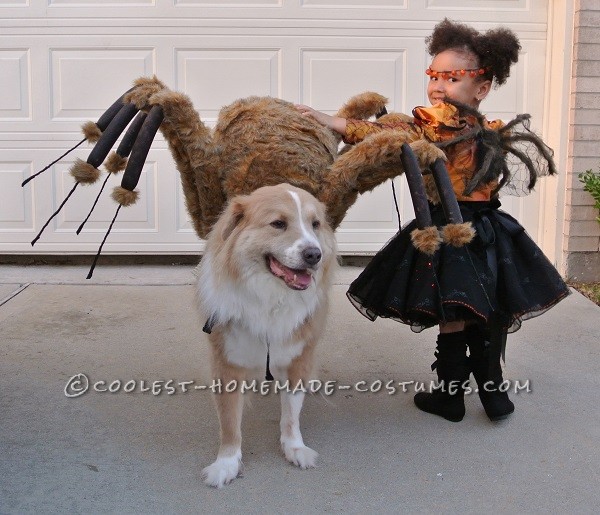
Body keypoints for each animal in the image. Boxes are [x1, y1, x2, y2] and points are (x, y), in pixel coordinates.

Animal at [197, 184, 338, 488]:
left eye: (315, 224)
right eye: (278, 224)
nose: (314, 255)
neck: (271, 299)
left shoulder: (298, 357)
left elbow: (291, 414)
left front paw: (294, 448)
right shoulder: (227, 362)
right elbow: (229, 422)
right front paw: (226, 463)